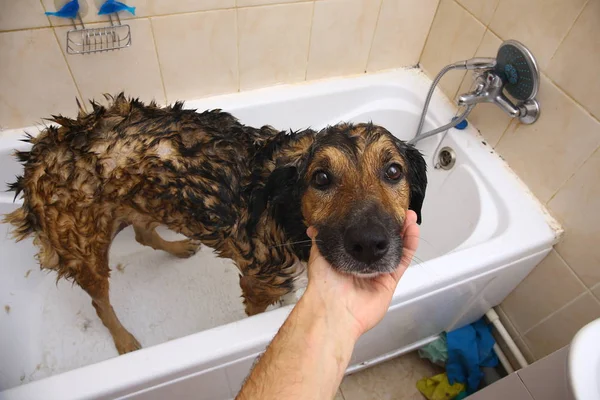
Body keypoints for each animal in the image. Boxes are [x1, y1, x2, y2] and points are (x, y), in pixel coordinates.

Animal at [4, 94, 426, 356]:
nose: (369, 244)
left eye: (393, 171)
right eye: (321, 178)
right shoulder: (259, 283)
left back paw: (177, 248)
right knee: (99, 302)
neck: (287, 213)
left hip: (146, 201)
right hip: (83, 245)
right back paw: (123, 339)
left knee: (142, 234)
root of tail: (37, 151)